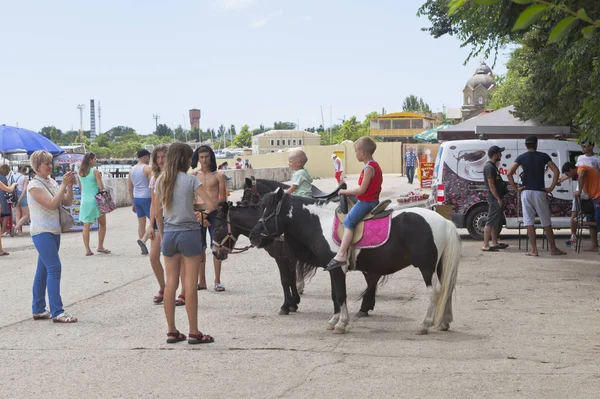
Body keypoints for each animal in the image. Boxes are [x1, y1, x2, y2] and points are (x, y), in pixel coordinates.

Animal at [251, 189, 462, 336]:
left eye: (269, 211)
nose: (254, 236)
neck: (322, 223)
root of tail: (444, 222)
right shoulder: (333, 269)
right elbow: (334, 295)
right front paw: (334, 320)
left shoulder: (338, 269)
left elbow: (340, 295)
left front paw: (341, 323)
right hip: (439, 265)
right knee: (447, 289)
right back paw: (444, 322)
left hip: (426, 267)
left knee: (435, 291)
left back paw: (425, 325)